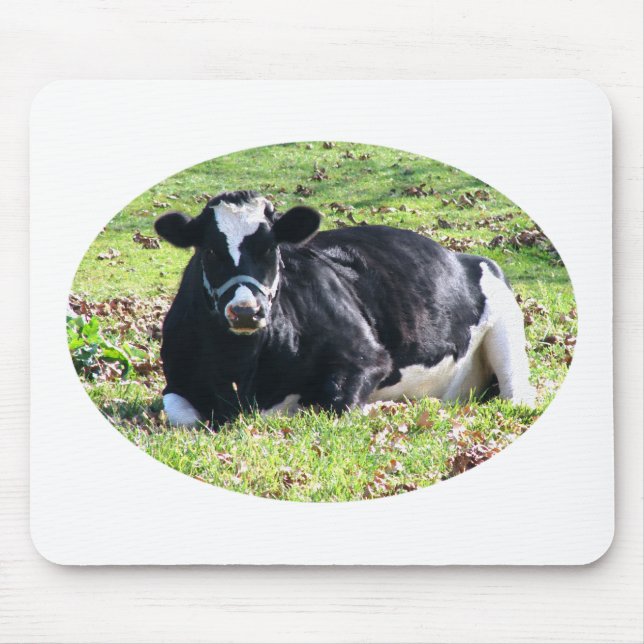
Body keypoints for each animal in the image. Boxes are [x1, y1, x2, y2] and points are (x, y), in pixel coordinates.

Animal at [154, 190, 535, 427]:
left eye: (270, 248)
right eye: (209, 250)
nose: (246, 311)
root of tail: (462, 255)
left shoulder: (367, 357)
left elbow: (333, 404)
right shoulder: (176, 382)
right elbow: (181, 415)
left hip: (507, 329)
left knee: (517, 396)